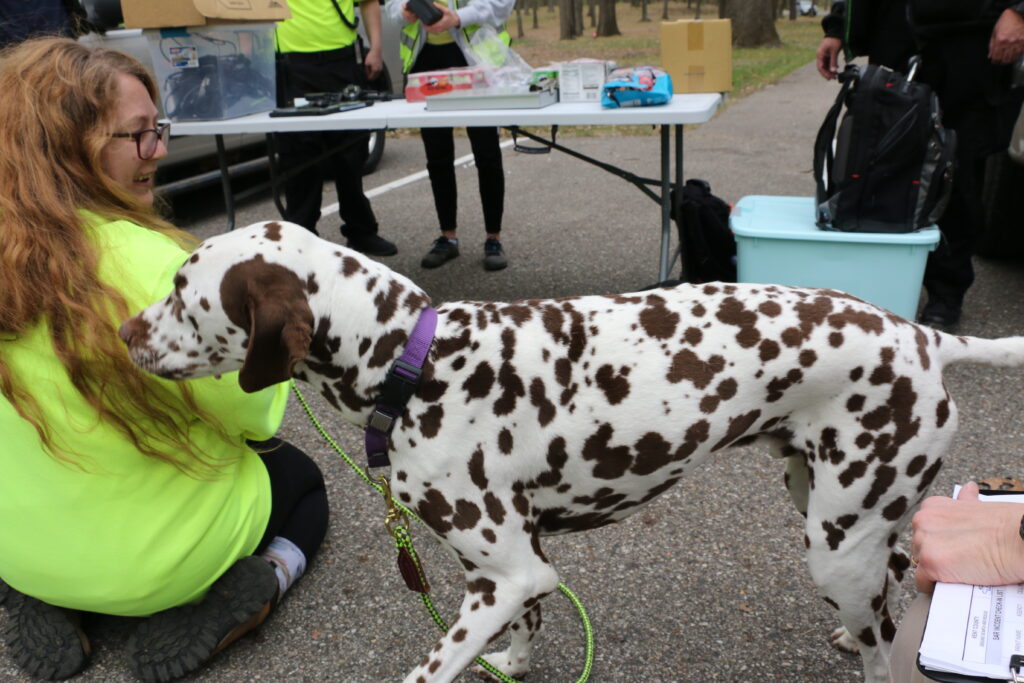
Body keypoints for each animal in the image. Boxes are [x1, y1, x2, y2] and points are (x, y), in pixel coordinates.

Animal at [121, 222, 1024, 679]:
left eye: (180, 289)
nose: (125, 332)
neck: (416, 360)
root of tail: (927, 337)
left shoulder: (510, 568)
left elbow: (432, 667)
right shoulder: (506, 570)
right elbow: (528, 624)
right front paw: (516, 661)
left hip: (837, 541)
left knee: (883, 644)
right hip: (842, 510)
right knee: (895, 584)